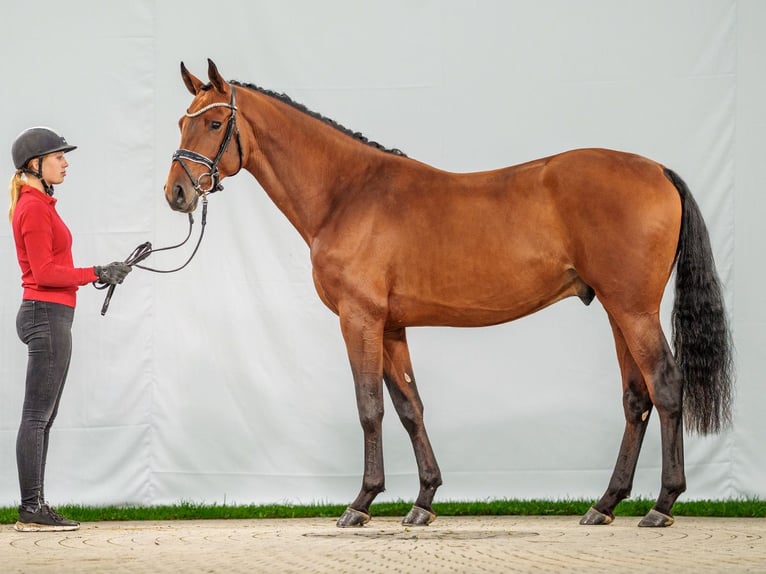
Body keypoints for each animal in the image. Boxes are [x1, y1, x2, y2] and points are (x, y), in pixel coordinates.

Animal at [162, 59, 732, 532]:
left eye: (214, 124)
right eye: (182, 123)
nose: (177, 193)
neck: (348, 193)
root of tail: (657, 170)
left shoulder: (358, 318)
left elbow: (369, 406)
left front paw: (361, 503)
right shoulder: (391, 325)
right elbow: (409, 405)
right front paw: (423, 501)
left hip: (634, 310)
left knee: (665, 386)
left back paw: (662, 504)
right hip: (617, 311)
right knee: (636, 397)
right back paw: (605, 504)